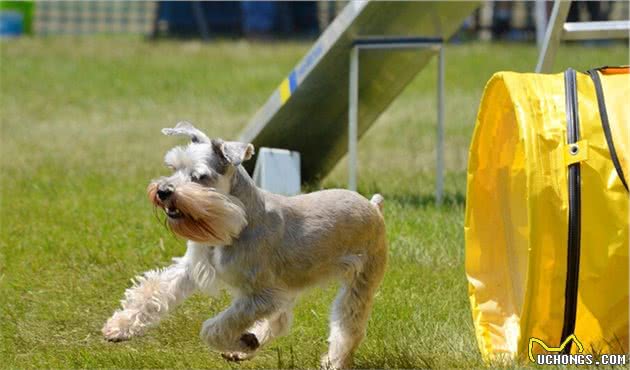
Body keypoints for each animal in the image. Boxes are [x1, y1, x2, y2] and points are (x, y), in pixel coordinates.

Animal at [103, 122, 388, 370]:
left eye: (199, 176)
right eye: (173, 167)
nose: (162, 191)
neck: (236, 222)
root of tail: (373, 206)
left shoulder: (260, 296)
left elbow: (214, 329)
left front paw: (241, 341)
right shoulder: (193, 269)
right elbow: (153, 291)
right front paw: (119, 326)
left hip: (359, 285)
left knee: (347, 328)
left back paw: (333, 361)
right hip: (290, 285)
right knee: (280, 321)